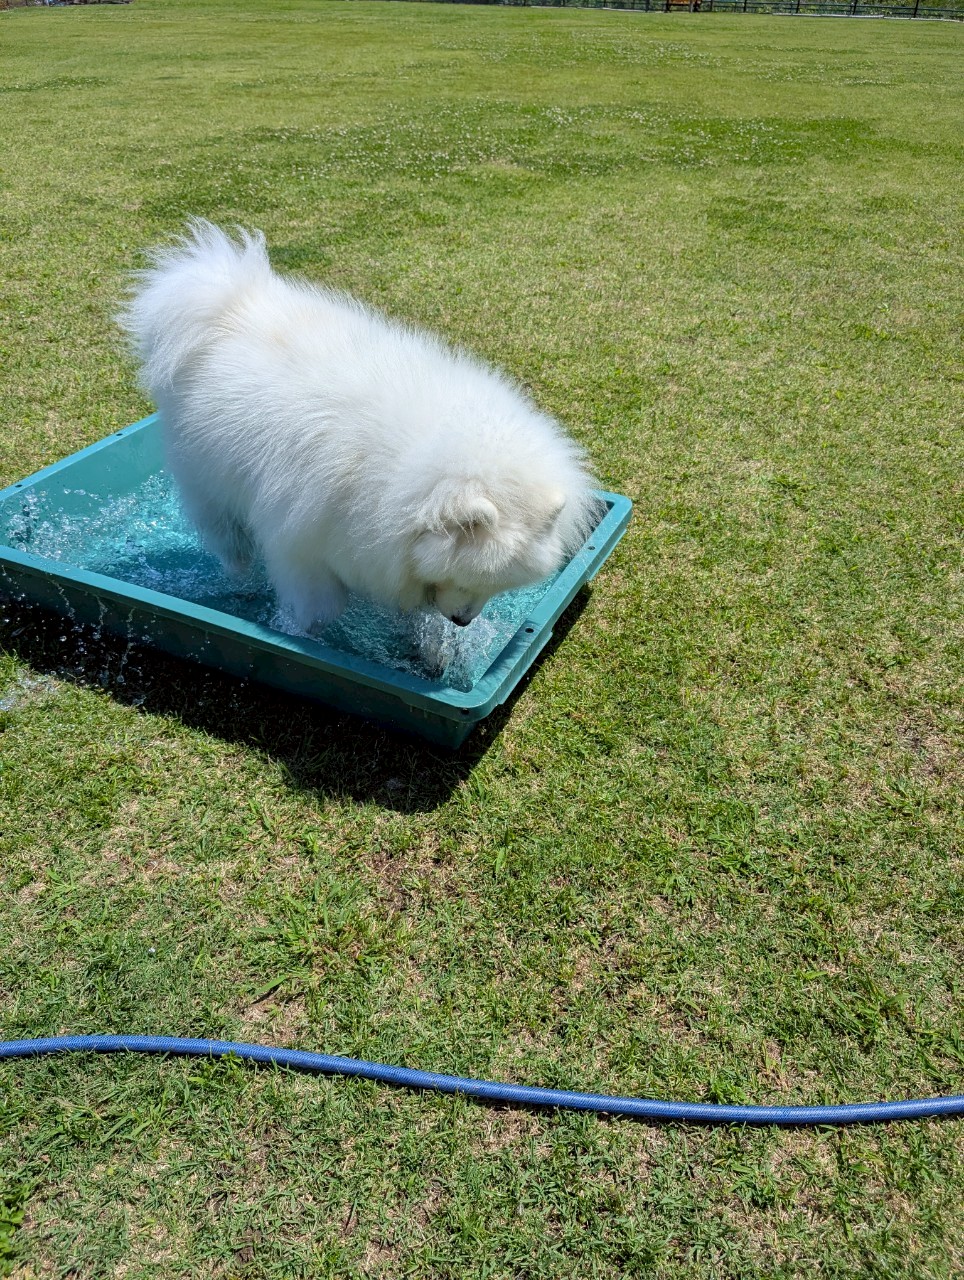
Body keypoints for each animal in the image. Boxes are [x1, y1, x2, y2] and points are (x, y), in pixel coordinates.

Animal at [119, 220, 596, 633]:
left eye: (495, 587)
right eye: (467, 578)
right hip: (209, 487)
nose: (463, 621)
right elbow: (319, 607)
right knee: (231, 545)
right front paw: (306, 633)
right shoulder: (302, 543)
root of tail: (229, 305)